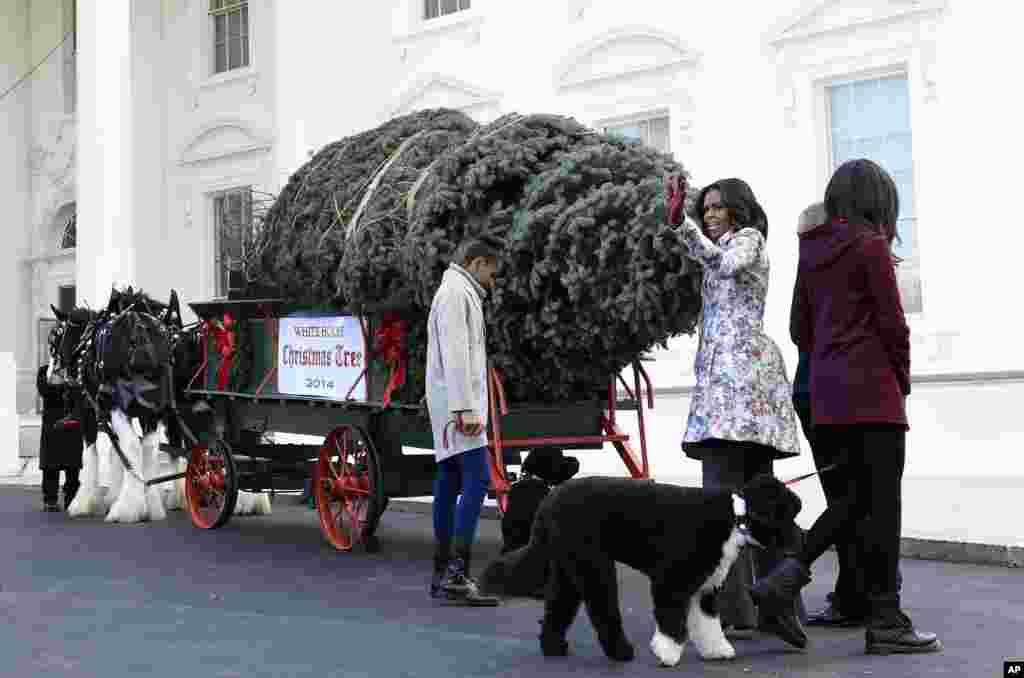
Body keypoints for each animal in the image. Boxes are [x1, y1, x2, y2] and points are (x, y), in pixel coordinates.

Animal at [475, 475, 802, 667]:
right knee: (603, 610)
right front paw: (666, 653)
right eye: (785, 514)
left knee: (558, 607)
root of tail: (548, 502)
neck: (736, 519)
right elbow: (672, 621)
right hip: (593, 565)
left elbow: (708, 623)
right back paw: (621, 652)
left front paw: (716, 650)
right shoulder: (671, 581)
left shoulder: (705, 588)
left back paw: (554, 647)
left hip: (568, 567)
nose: (799, 539)